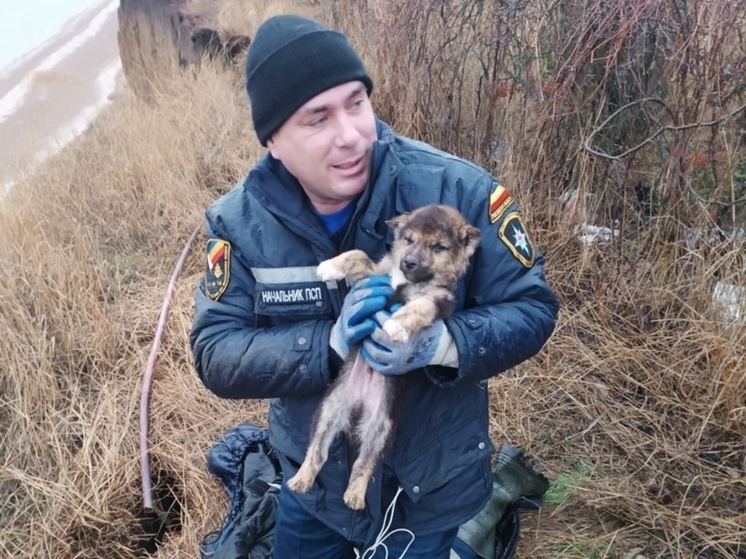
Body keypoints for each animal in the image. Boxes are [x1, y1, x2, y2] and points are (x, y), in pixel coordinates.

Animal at [284, 206, 482, 512]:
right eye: (408, 239)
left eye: (439, 247)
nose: (409, 262)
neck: (409, 282)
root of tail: (359, 404)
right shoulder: (376, 275)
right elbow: (358, 255)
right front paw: (329, 266)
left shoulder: (438, 302)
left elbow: (418, 307)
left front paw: (396, 326)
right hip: (329, 409)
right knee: (318, 451)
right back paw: (301, 479)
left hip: (380, 428)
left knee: (364, 464)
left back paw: (354, 496)